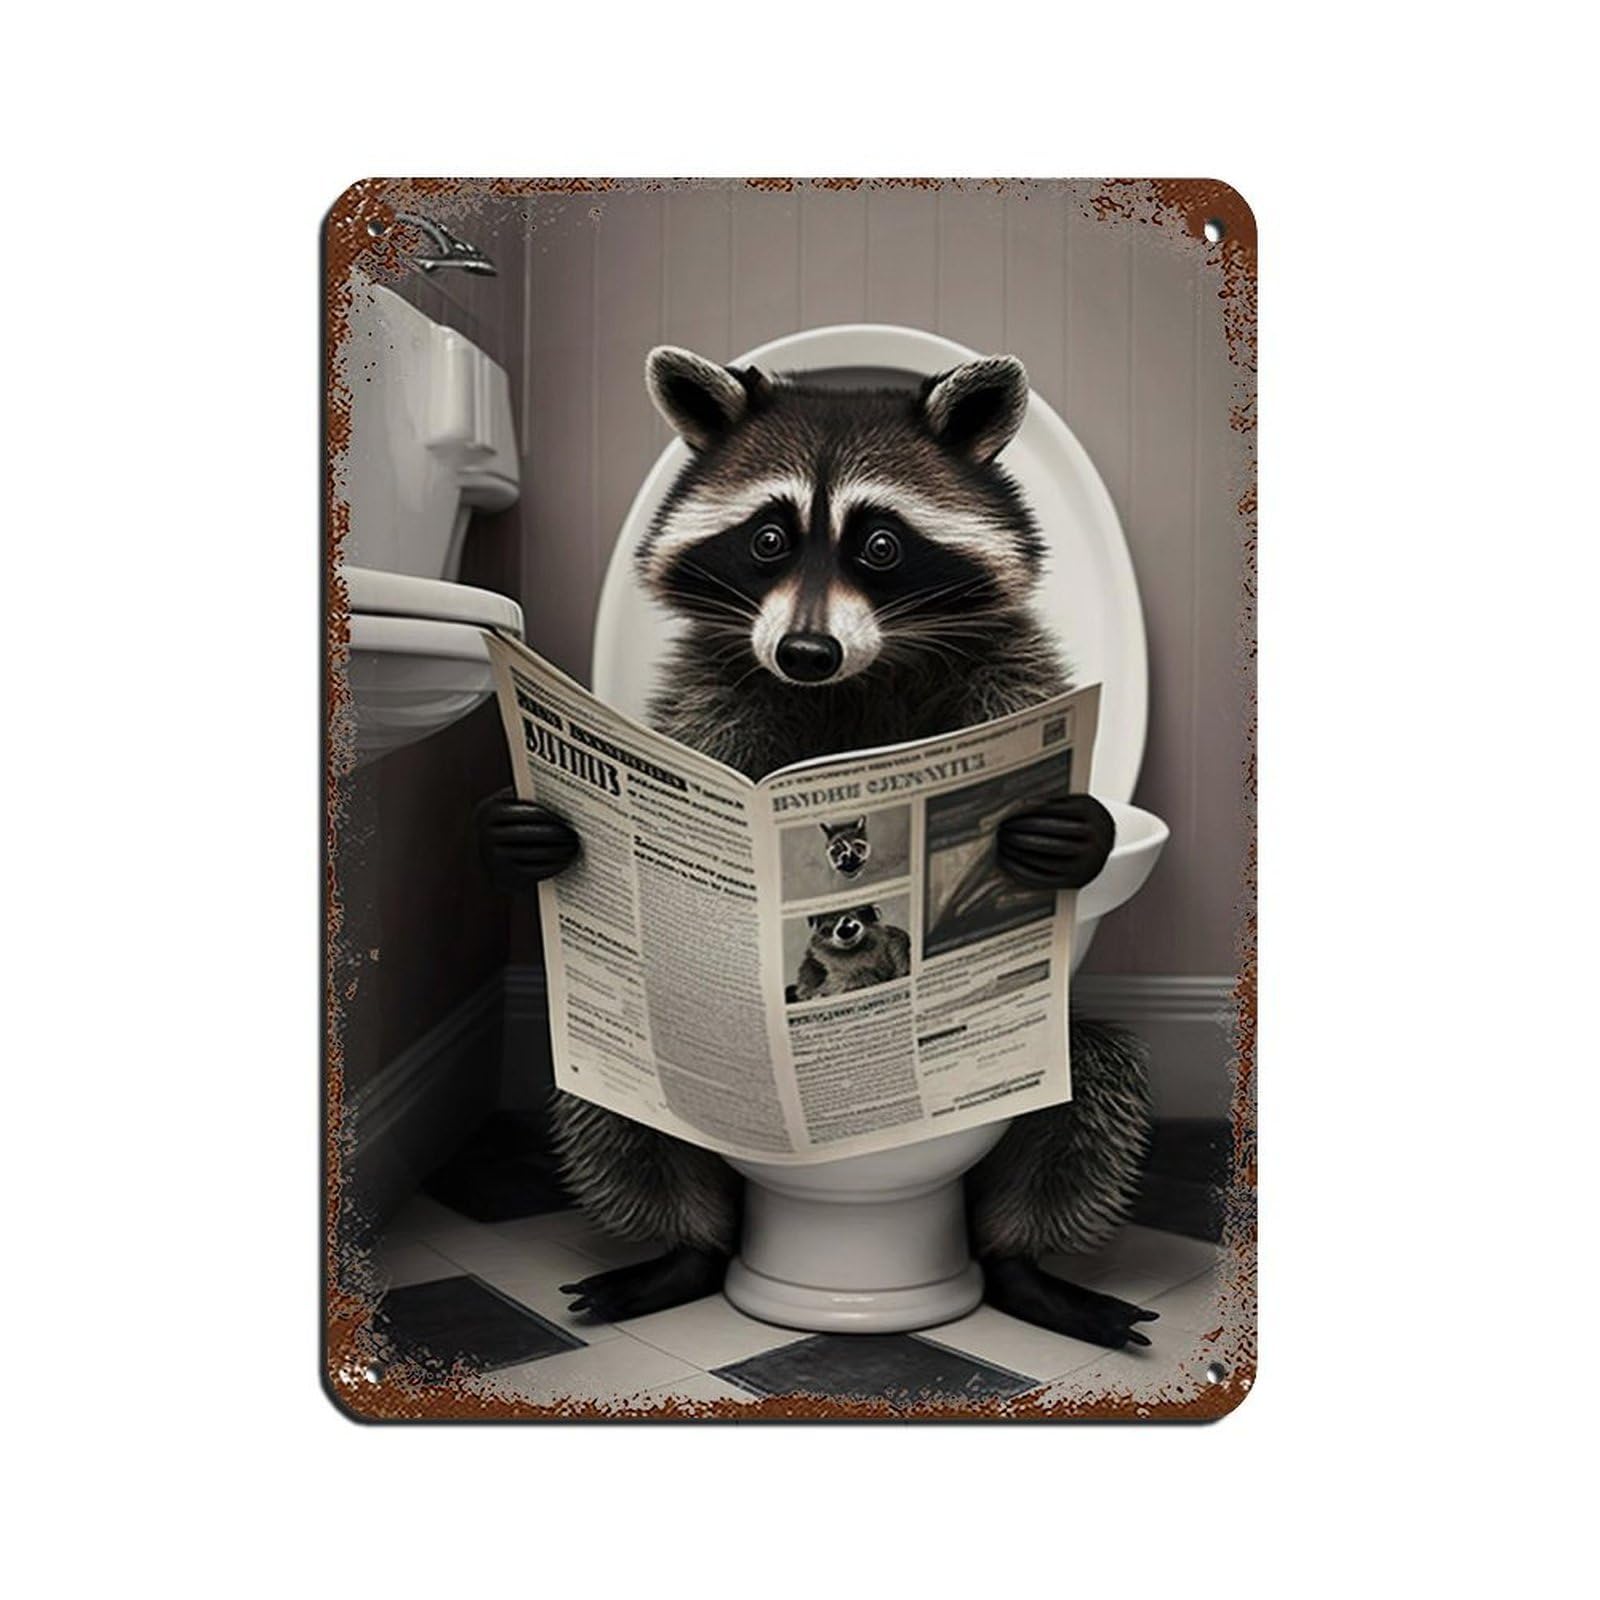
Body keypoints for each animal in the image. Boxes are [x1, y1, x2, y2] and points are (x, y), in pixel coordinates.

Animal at [478, 346, 1152, 1348]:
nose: (804, 651)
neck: (854, 678)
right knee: (609, 1101)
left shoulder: (1005, 671)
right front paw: (529, 835)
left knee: (1092, 1086)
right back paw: (686, 1247)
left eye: (881, 546)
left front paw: (1079, 830)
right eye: (767, 539)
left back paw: (1024, 1263)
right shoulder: (719, 692)